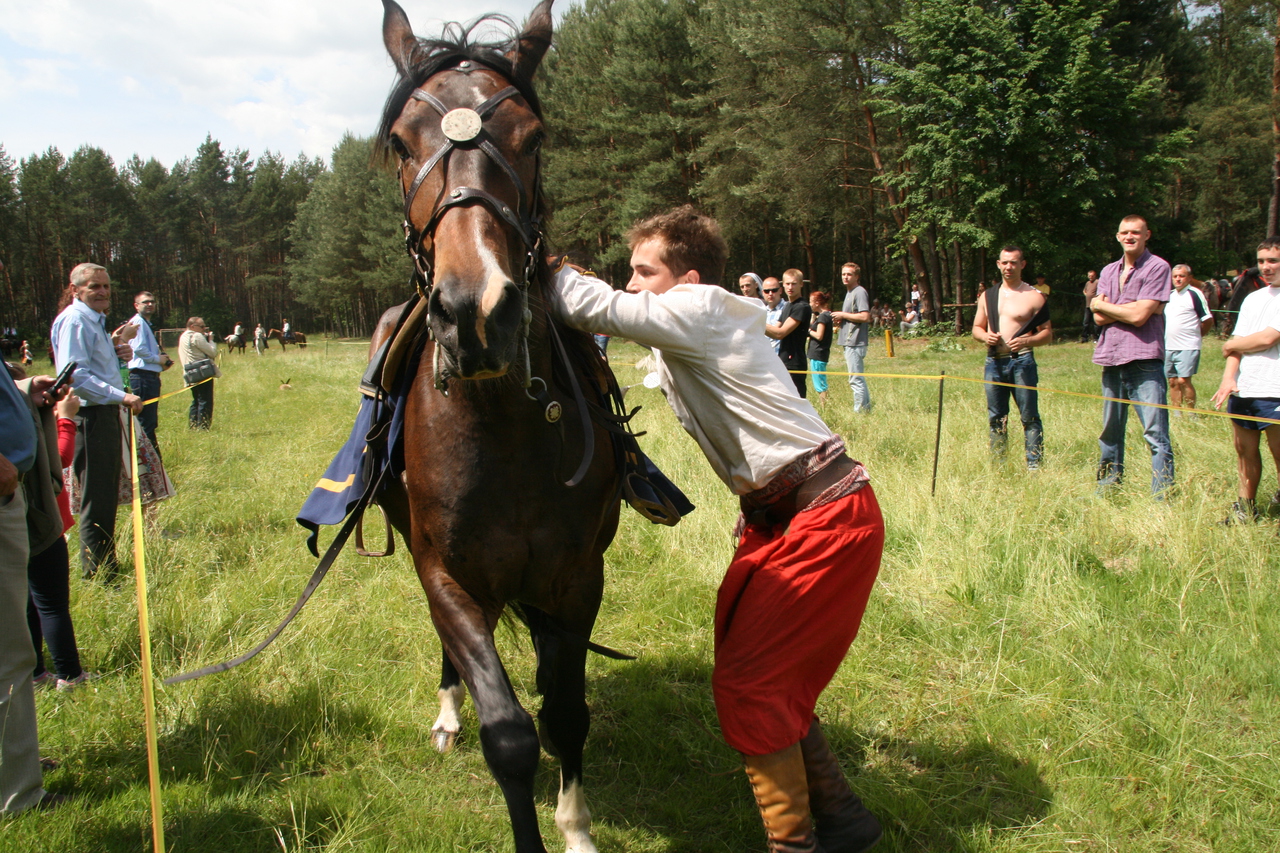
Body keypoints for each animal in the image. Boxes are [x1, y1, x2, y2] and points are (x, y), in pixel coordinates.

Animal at [368, 3, 622, 845]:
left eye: (532, 139)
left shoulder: (576, 576)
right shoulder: (447, 574)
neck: (503, 423)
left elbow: (565, 709)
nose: (475, 311)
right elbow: (509, 730)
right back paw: (449, 710)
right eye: (401, 142)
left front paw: (575, 824)